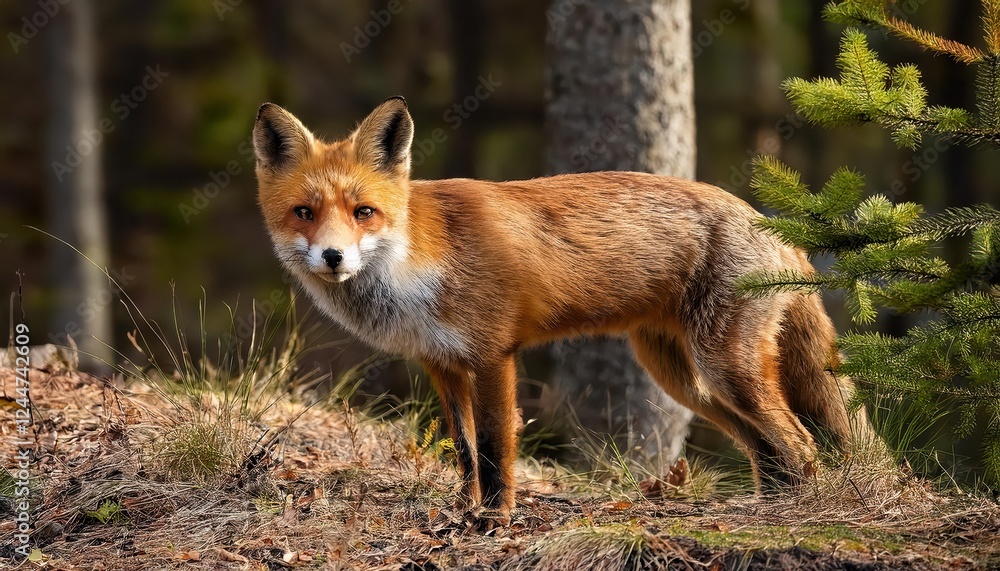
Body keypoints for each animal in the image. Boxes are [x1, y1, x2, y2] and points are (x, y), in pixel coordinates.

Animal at [253, 97, 863, 526]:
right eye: (304, 212)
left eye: (363, 212)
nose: (333, 257)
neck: (418, 265)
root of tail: (769, 221)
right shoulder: (441, 363)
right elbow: (466, 452)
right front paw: (463, 511)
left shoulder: (492, 354)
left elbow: (495, 447)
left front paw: (494, 519)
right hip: (685, 379)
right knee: (768, 449)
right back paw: (770, 508)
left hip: (724, 369)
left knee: (800, 443)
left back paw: (799, 512)